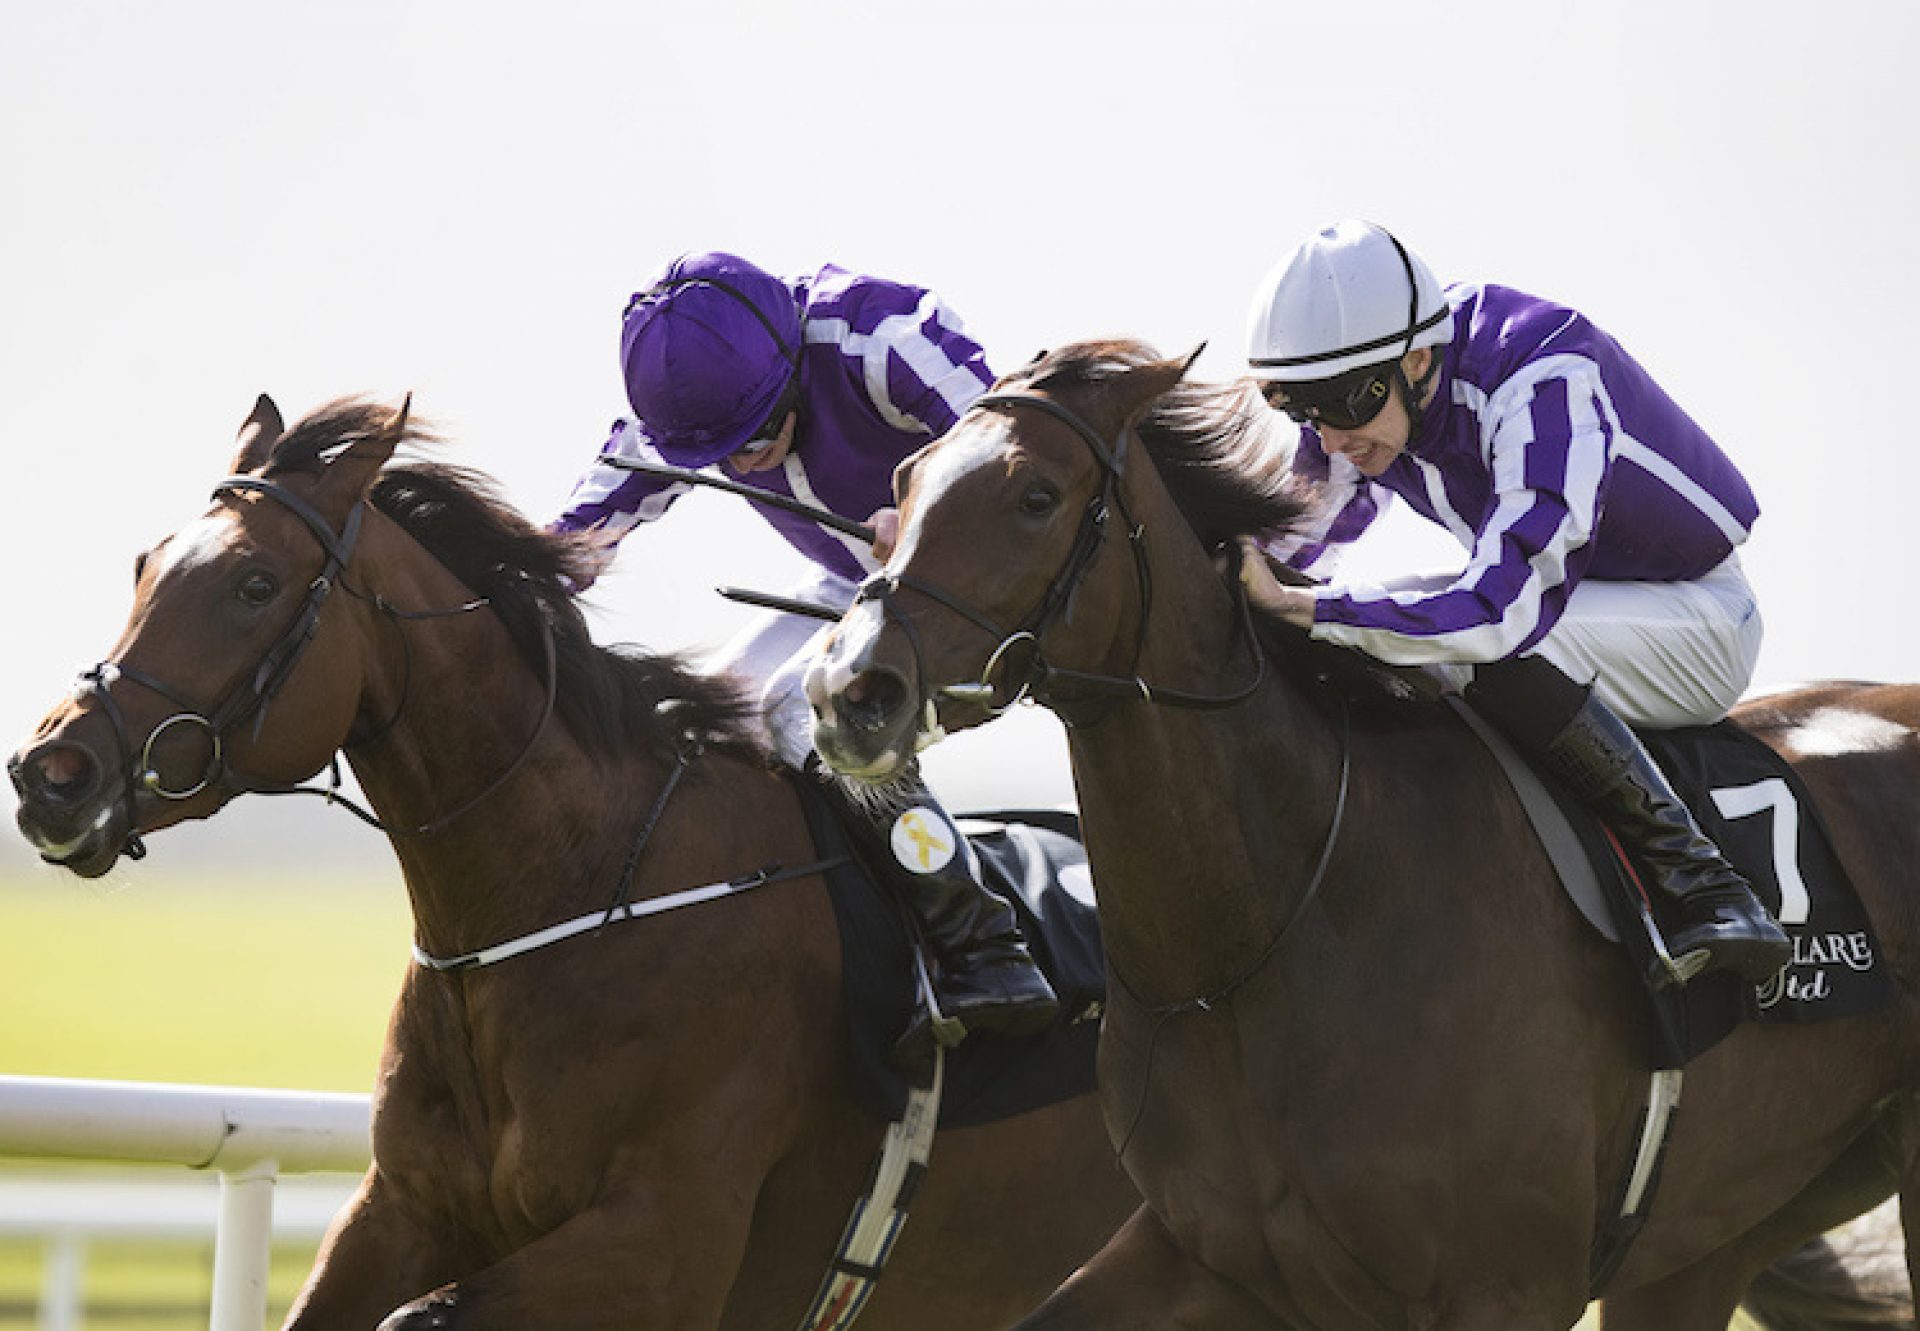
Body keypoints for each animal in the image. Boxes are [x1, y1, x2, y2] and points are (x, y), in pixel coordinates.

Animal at [3, 399, 1136, 1329]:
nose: (51, 771)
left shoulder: (663, 1243)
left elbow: (420, 1318)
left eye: (253, 583)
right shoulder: (400, 1209)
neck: (577, 891)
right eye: (147, 564)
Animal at [806, 341, 1920, 1329]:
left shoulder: (1505, 1287)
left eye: (1035, 495)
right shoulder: (1209, 1260)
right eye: (903, 483)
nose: (848, 690)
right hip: (1714, 1231)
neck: (1267, 935)